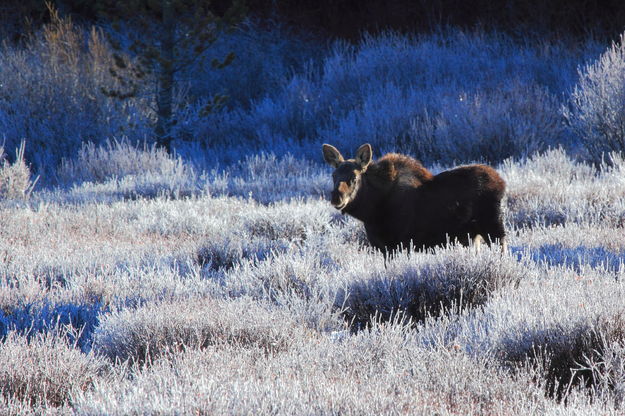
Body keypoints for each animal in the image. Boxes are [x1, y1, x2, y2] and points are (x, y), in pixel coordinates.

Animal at [322, 143, 508, 254]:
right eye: (333, 176)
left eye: (354, 178)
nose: (336, 198)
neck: (372, 213)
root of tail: (502, 182)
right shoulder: (383, 248)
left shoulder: (402, 244)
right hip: (474, 236)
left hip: (494, 229)